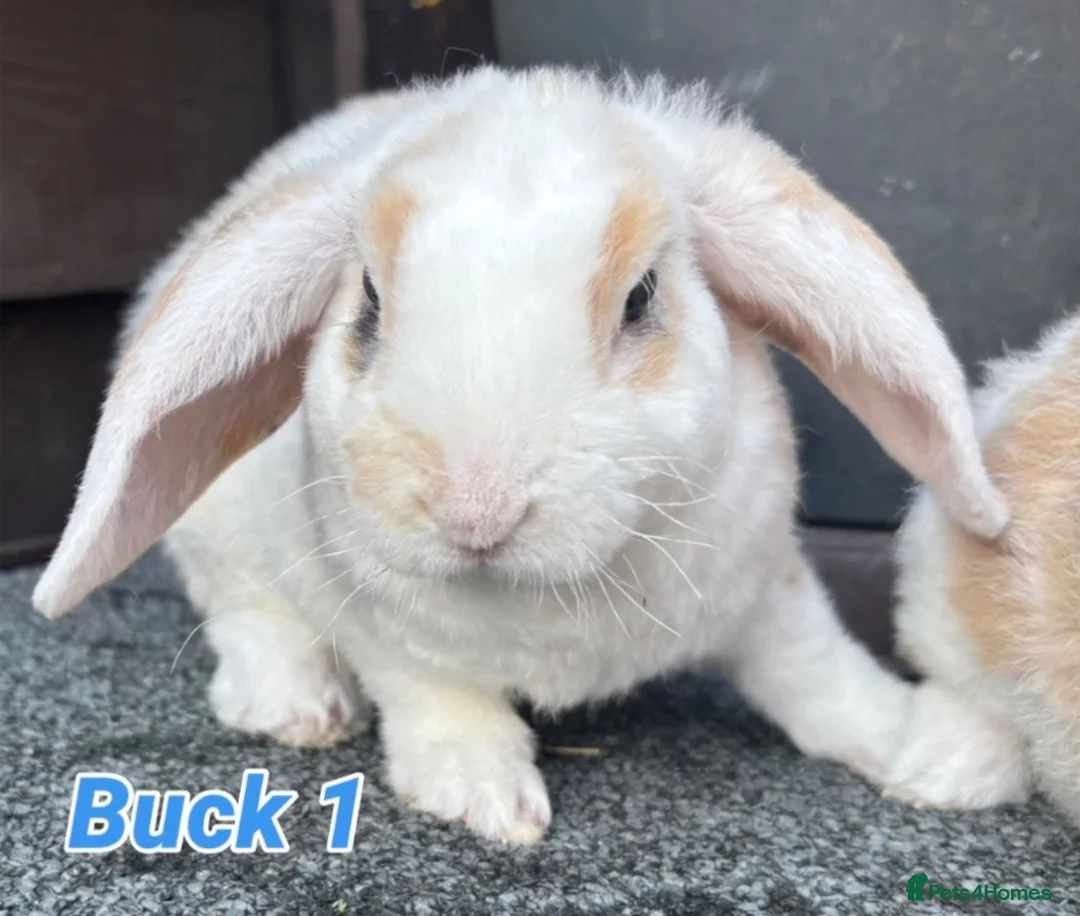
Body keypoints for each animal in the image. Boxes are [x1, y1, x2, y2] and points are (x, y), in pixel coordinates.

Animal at [33, 65, 1018, 845]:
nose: (477, 510)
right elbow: (439, 698)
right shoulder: (385, 634)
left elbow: (816, 672)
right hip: (219, 536)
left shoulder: (767, 587)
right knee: (248, 615)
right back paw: (299, 707)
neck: (549, 601)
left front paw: (924, 746)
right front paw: (485, 798)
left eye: (641, 297)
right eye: (368, 306)